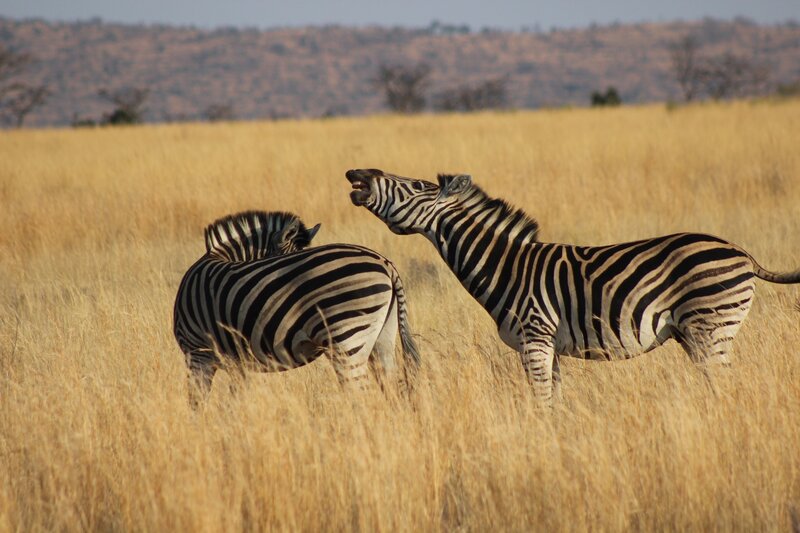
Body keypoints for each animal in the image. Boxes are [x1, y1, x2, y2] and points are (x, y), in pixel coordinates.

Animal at [173, 210, 420, 407]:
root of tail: (386, 264)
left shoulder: (198, 353)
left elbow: (197, 405)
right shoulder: (237, 363)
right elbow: (235, 403)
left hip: (346, 339)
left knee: (360, 396)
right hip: (382, 339)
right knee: (391, 389)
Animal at [346, 168, 800, 406]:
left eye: (415, 186)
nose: (357, 173)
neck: (505, 265)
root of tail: (744, 254)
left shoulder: (534, 337)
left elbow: (540, 402)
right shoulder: (549, 345)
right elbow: (554, 402)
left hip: (711, 326)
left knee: (726, 387)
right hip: (697, 333)